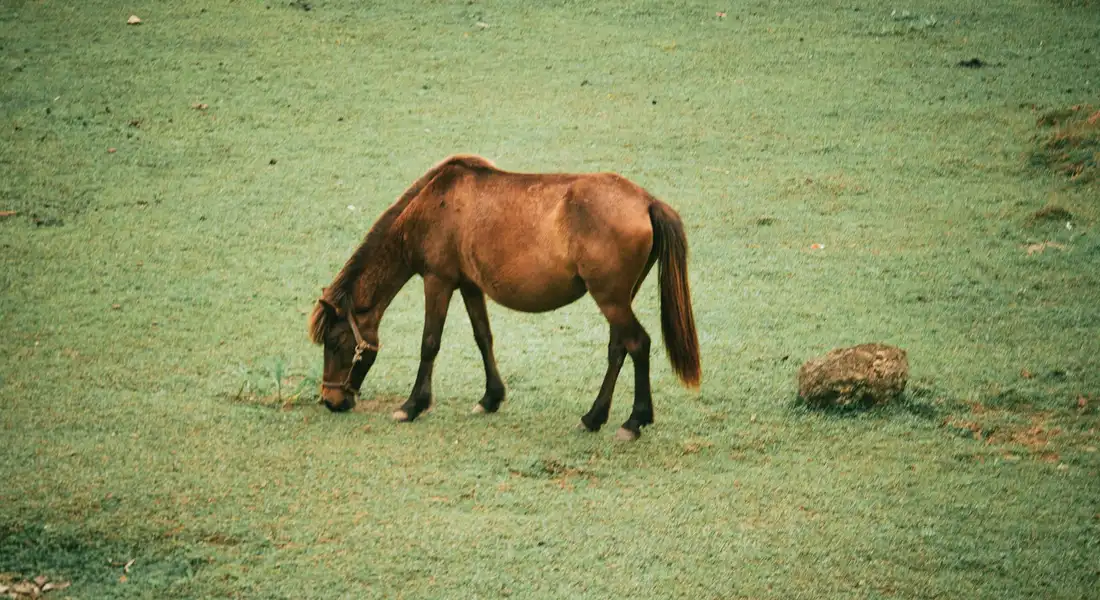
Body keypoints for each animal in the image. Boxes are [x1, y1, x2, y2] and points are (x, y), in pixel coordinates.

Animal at [308, 154, 700, 441]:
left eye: (336, 342)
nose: (331, 400)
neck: (430, 206)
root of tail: (646, 201)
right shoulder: (468, 285)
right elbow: (483, 337)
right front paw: (490, 397)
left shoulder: (438, 281)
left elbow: (429, 343)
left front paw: (412, 405)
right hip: (618, 299)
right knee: (619, 349)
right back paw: (593, 417)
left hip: (611, 299)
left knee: (638, 344)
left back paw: (634, 421)